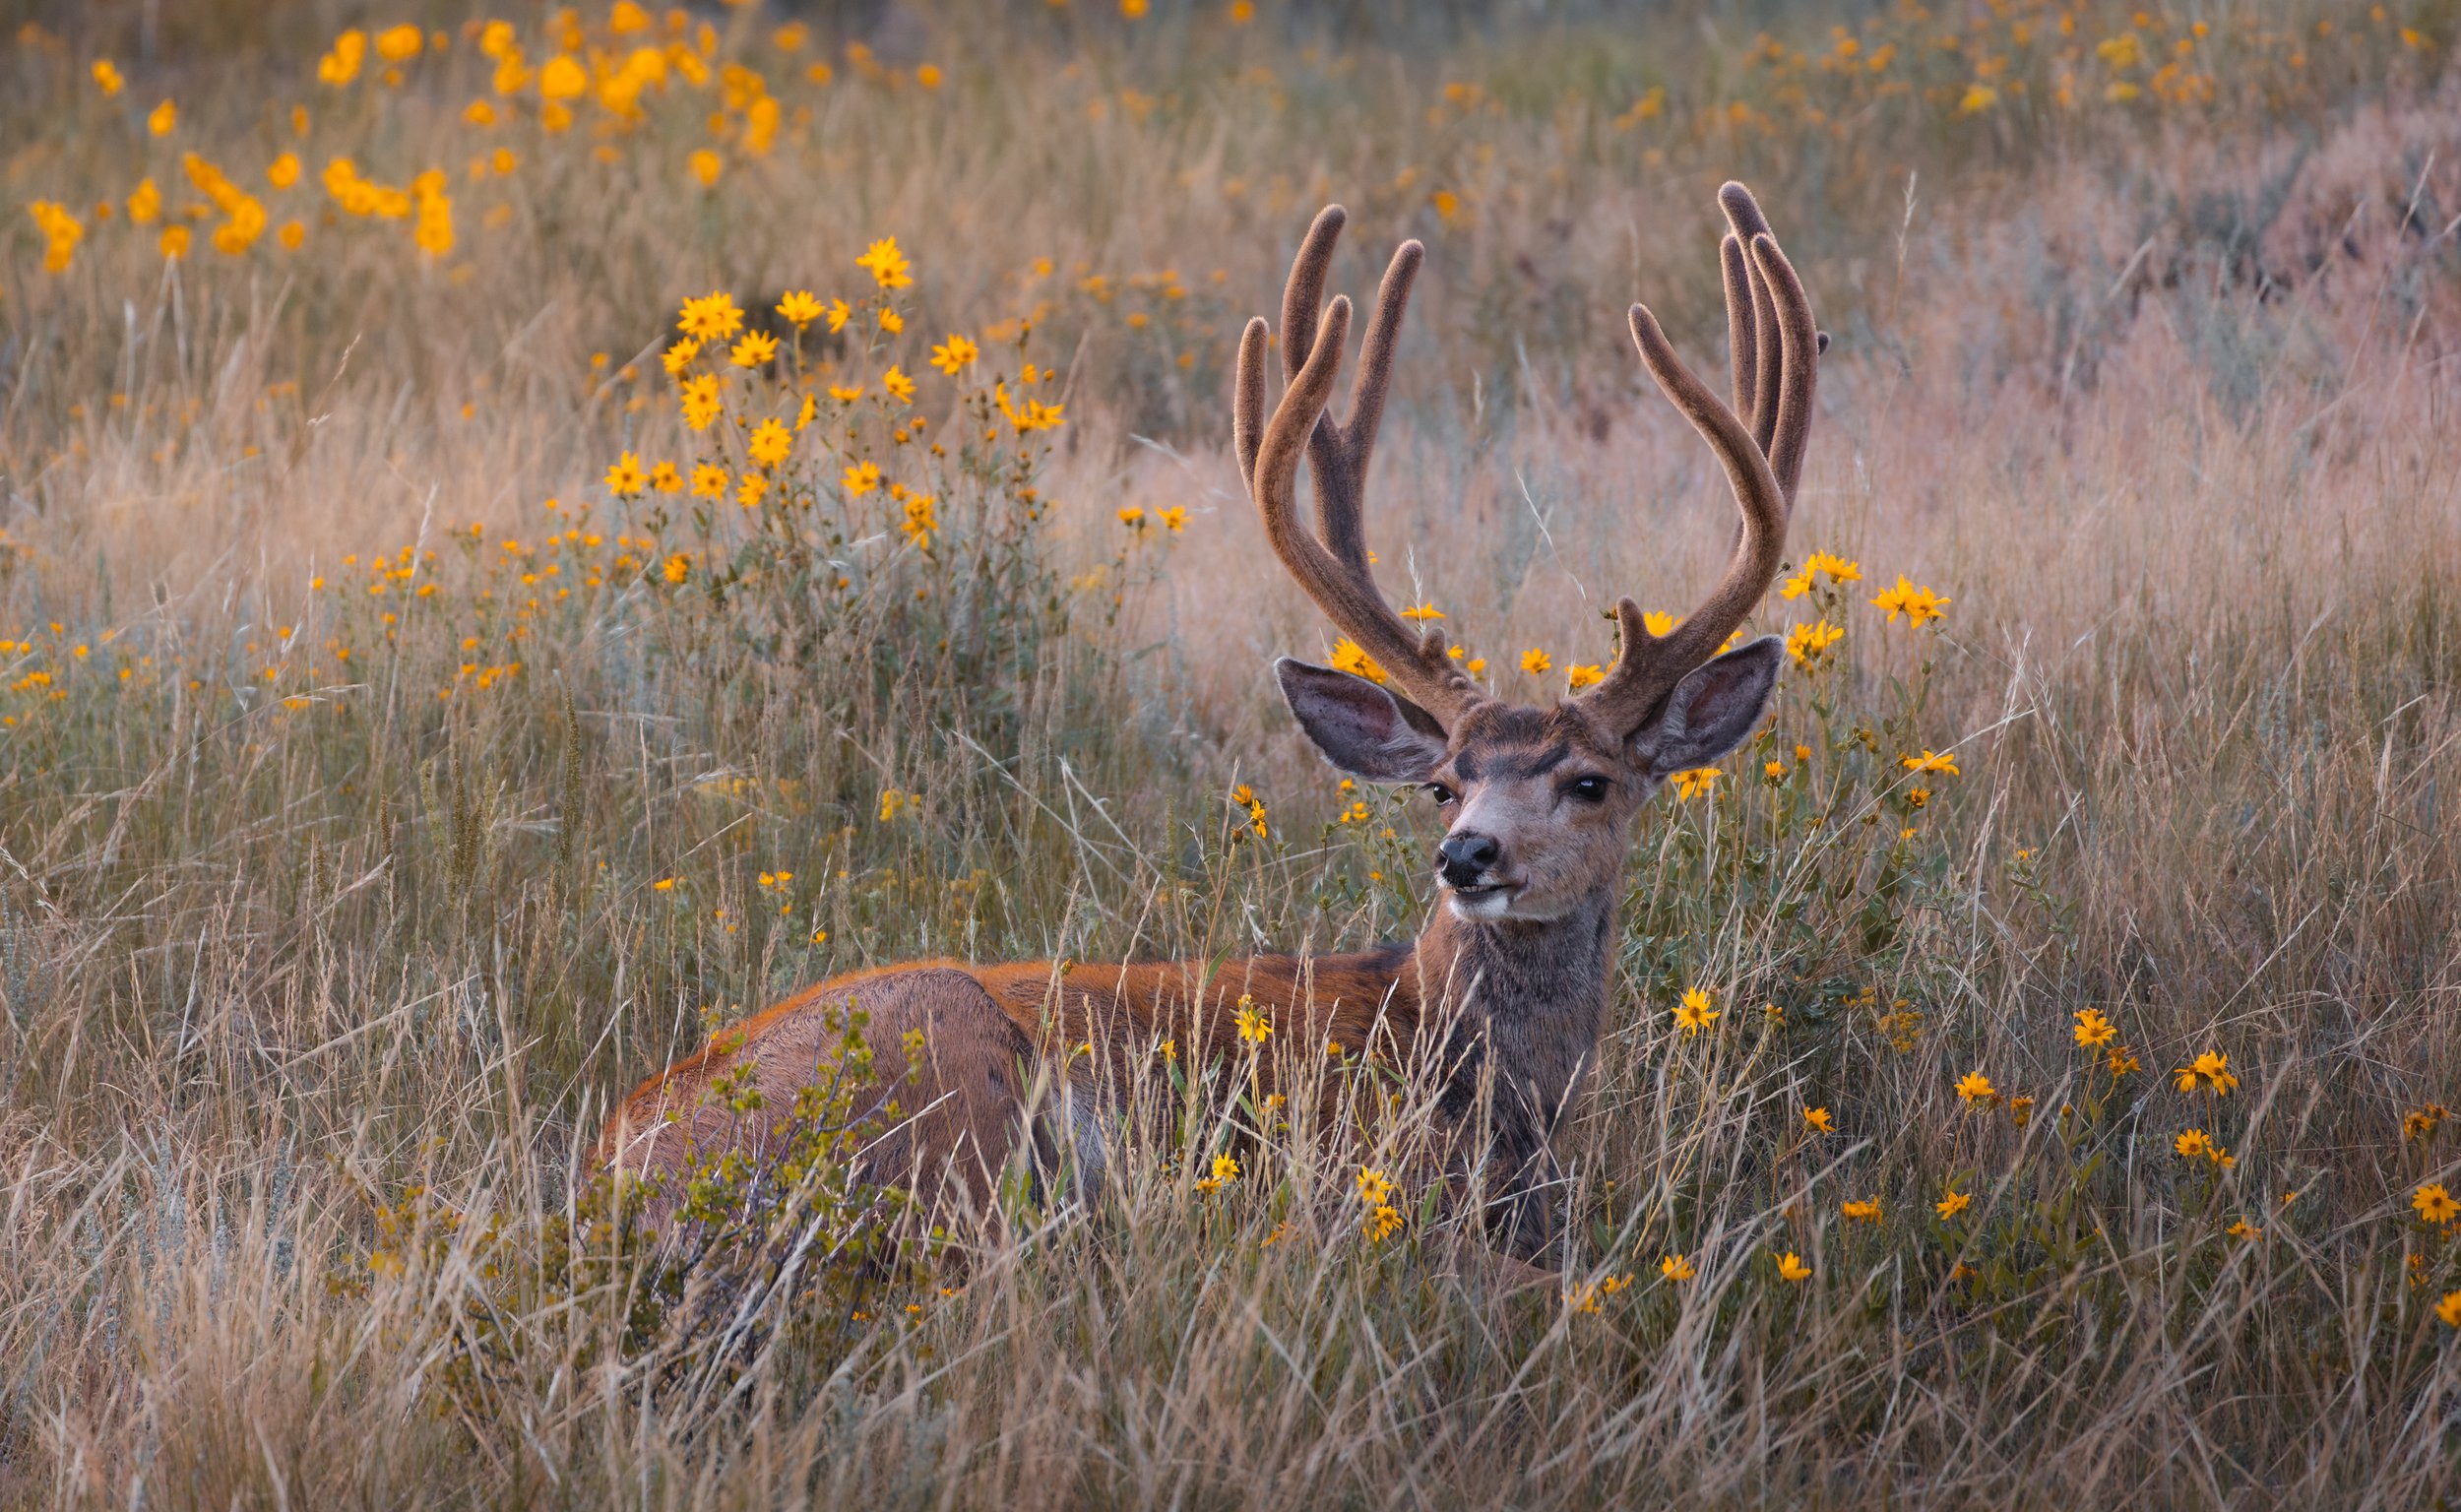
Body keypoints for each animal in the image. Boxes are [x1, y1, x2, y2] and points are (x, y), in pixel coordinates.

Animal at [593, 182, 1819, 1270]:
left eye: (1590, 781)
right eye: (1444, 780)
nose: (1467, 853)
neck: (1470, 1077)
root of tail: (626, 1163)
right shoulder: (1361, 1184)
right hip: (950, 1085)